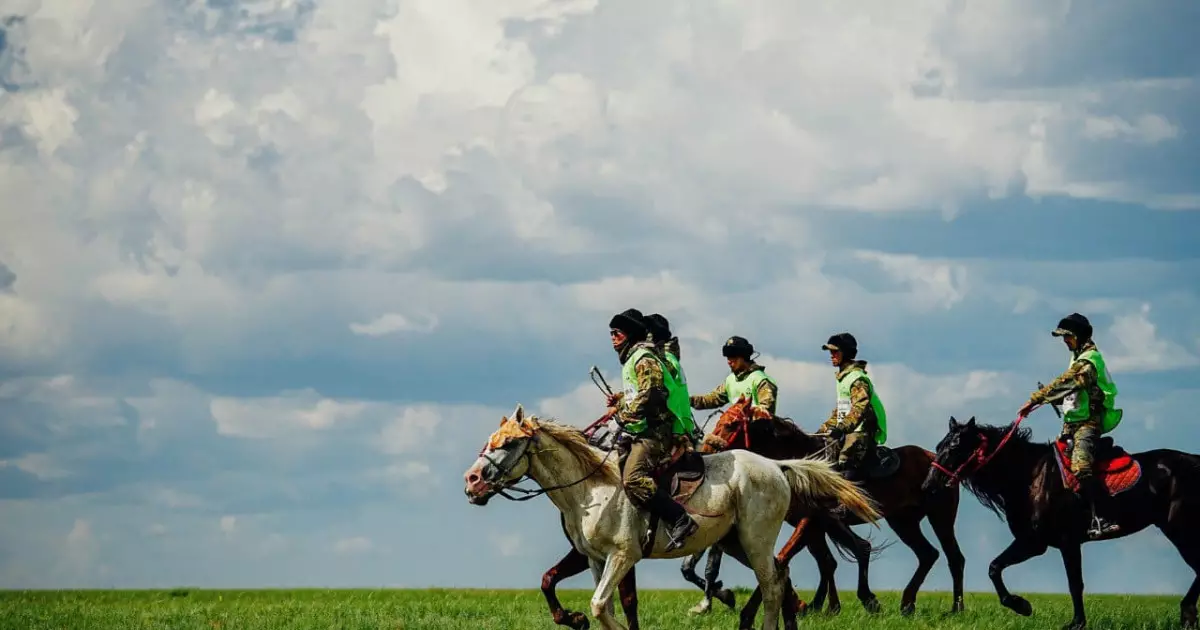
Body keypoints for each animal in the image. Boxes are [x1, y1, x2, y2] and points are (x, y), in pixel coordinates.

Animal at [460, 403, 883, 628]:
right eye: (489, 442)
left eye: (509, 443)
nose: (472, 481)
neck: (591, 489)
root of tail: (777, 466)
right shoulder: (595, 559)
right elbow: (599, 602)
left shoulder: (623, 556)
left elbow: (602, 606)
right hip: (735, 543)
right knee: (780, 576)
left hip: (755, 540)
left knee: (773, 584)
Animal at [686, 396, 964, 614]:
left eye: (731, 423)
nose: (705, 450)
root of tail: (935, 459)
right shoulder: (815, 524)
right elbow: (825, 561)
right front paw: (821, 606)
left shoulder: (811, 521)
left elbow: (788, 557)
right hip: (903, 522)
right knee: (926, 554)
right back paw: (905, 603)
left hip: (940, 517)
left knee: (954, 557)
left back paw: (955, 608)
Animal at [916, 410, 1200, 624]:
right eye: (938, 447)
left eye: (955, 448)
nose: (928, 486)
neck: (1029, 477)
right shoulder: (1034, 542)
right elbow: (994, 567)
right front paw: (1022, 605)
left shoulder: (1060, 542)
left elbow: (1075, 583)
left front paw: (1074, 622)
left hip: (1181, 530)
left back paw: (1187, 612)